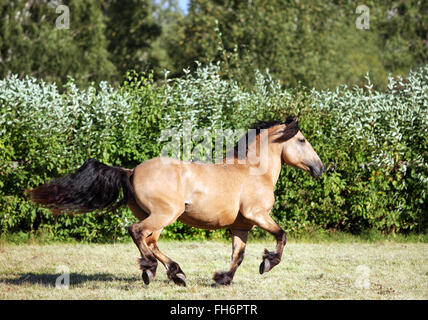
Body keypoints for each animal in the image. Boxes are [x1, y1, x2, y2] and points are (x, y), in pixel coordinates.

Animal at [28, 116, 322, 286]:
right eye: (301, 140)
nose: (320, 169)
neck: (252, 171)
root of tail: (131, 171)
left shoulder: (242, 225)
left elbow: (238, 255)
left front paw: (222, 278)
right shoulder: (257, 214)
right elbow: (282, 235)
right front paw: (267, 264)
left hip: (156, 217)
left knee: (150, 241)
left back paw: (173, 272)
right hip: (165, 214)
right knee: (137, 233)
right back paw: (153, 270)